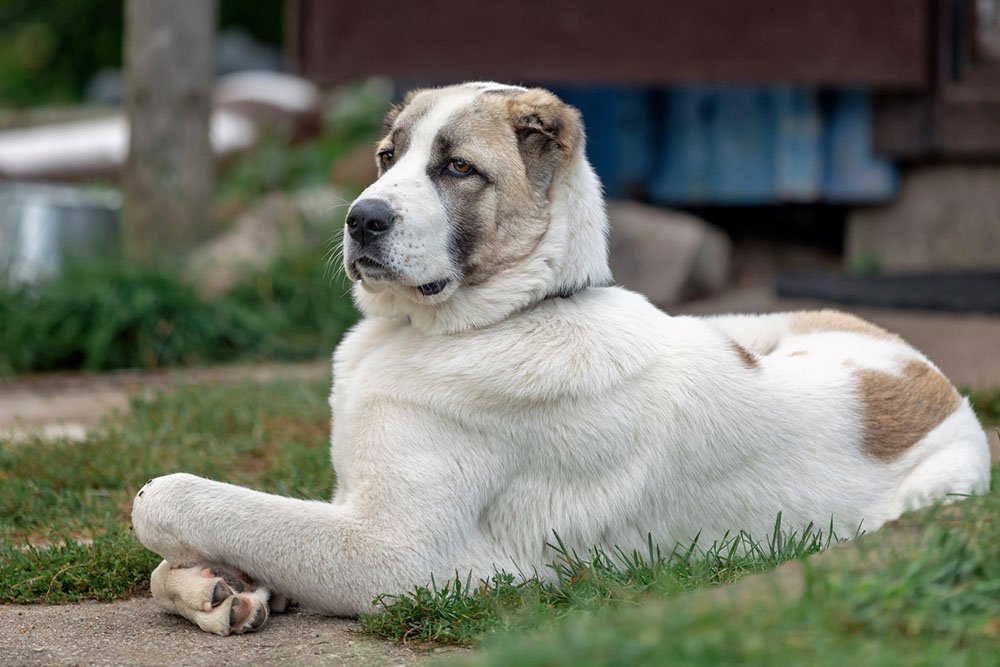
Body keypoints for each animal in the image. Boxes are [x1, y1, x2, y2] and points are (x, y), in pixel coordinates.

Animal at [133, 83, 992, 636]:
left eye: (457, 168)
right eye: (387, 157)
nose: (361, 218)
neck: (495, 318)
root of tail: (939, 383)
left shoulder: (393, 553)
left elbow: (169, 496)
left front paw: (208, 562)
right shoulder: (349, 504)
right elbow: (189, 548)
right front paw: (218, 587)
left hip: (928, 498)